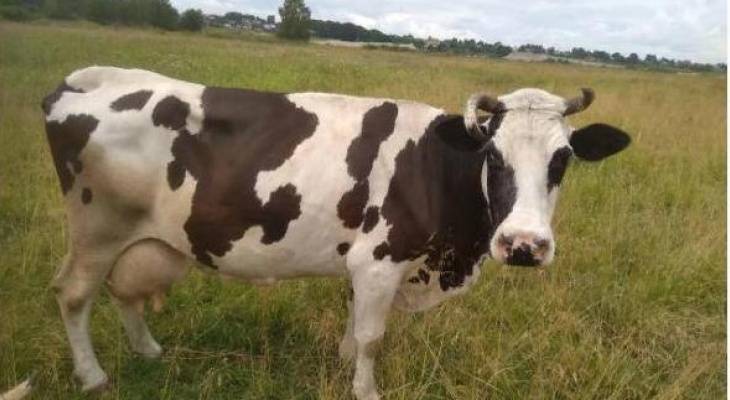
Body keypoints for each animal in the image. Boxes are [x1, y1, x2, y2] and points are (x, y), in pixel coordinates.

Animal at [42, 66, 630, 400]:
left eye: (563, 158)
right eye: (493, 154)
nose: (524, 245)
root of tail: (87, 79)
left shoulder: (361, 264)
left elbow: (353, 326)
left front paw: (345, 362)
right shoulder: (380, 261)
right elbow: (372, 337)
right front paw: (365, 390)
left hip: (145, 238)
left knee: (125, 290)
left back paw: (147, 350)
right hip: (96, 230)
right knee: (74, 295)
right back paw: (92, 376)